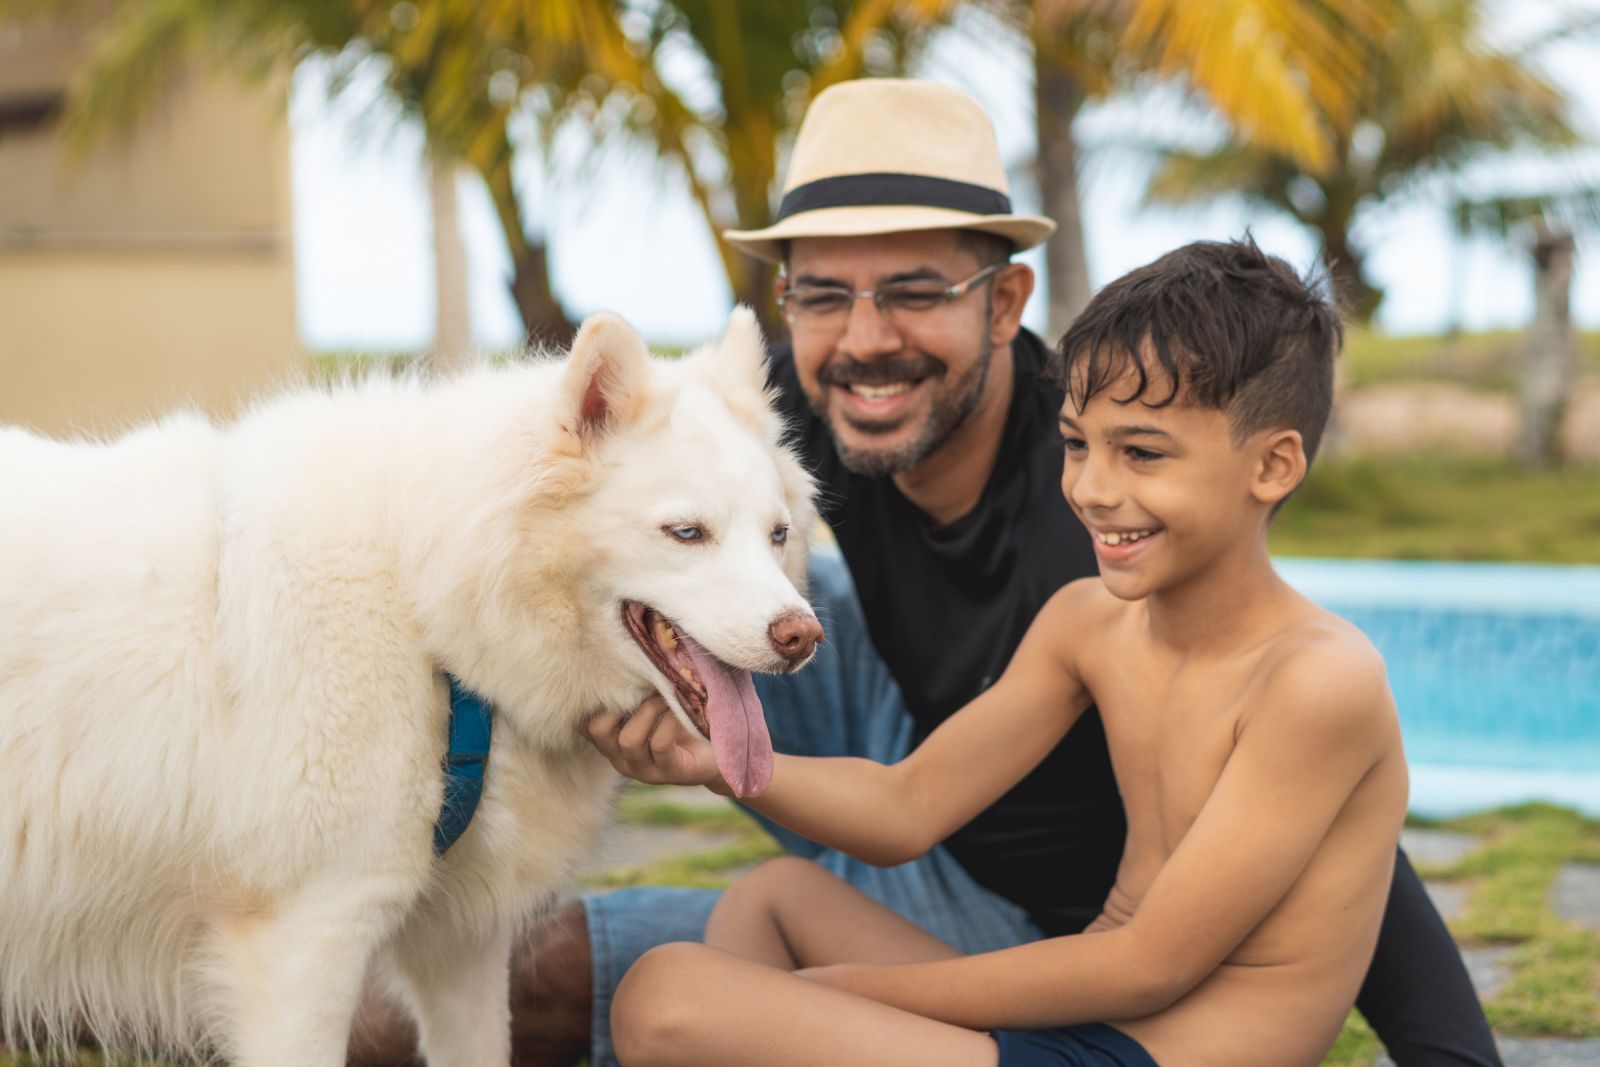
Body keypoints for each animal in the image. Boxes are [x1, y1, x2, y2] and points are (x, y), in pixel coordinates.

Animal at [0, 308, 819, 1067]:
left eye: (778, 534)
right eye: (686, 533)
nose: (803, 637)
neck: (425, 604)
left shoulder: (460, 946)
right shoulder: (307, 941)